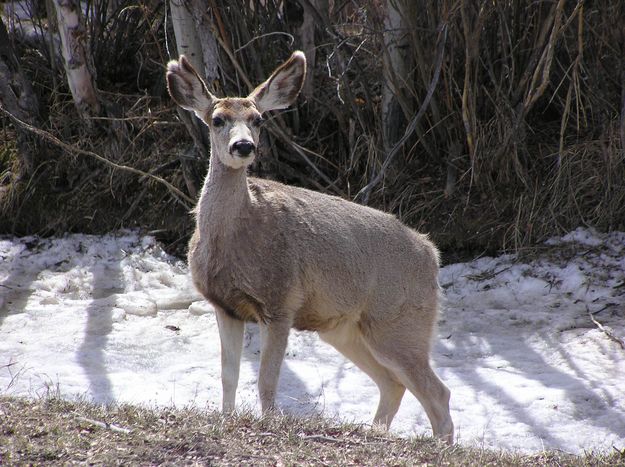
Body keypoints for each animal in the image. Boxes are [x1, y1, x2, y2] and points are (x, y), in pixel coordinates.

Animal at [166, 49, 454, 444]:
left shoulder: (280, 300)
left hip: (400, 320)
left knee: (436, 390)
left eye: (257, 120)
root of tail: (432, 255)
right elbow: (229, 376)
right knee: (394, 384)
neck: (238, 236)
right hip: (346, 329)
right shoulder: (224, 305)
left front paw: (269, 423)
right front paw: (225, 421)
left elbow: (267, 380)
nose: (243, 146)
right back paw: (375, 432)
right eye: (217, 119)